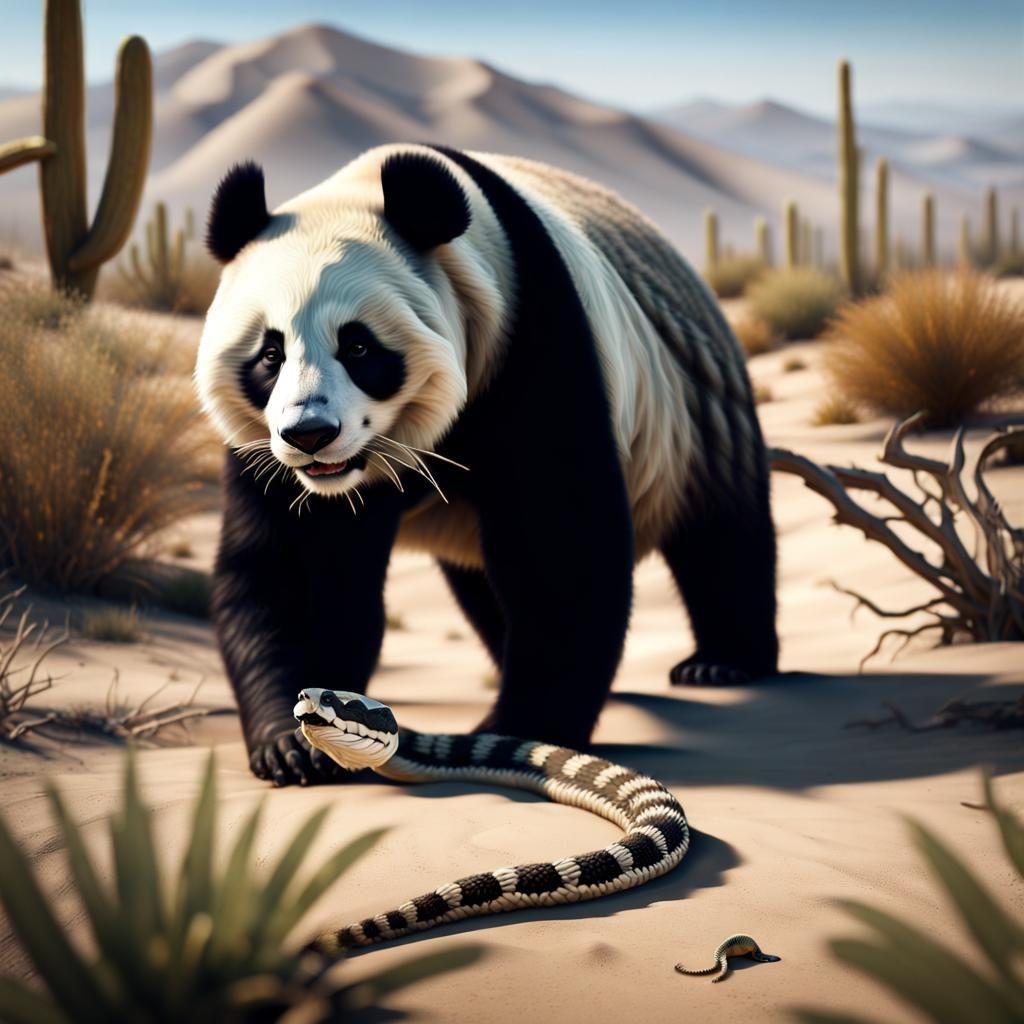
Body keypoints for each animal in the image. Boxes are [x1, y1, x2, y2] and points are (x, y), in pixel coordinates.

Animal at [195, 143, 778, 786]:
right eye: (269, 355)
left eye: (359, 346)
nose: (311, 435)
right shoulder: (270, 457)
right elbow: (296, 568)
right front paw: (292, 744)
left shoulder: (530, 341)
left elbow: (561, 545)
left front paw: (517, 730)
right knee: (483, 584)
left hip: (697, 412)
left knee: (722, 537)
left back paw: (722, 663)